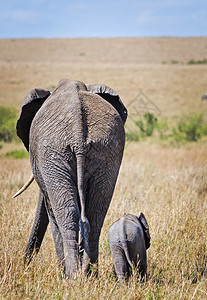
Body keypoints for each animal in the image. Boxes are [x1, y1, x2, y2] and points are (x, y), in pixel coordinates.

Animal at [14, 78, 127, 276]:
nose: (25, 266)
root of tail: (78, 136)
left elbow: (51, 211)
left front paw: (63, 274)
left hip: (53, 154)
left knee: (66, 214)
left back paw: (72, 277)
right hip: (107, 151)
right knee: (96, 212)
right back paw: (88, 276)